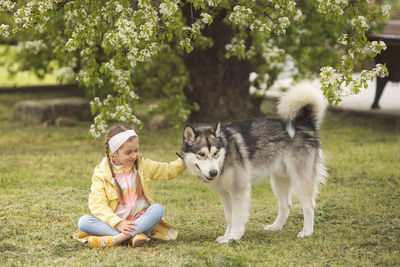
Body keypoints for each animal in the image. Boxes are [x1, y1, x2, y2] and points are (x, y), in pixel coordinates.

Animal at [181, 87, 328, 244]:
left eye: (215, 153)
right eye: (201, 154)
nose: (214, 172)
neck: (226, 154)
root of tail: (305, 124)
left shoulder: (239, 191)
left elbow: (237, 218)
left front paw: (234, 236)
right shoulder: (225, 194)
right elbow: (229, 218)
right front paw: (226, 237)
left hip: (301, 180)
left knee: (309, 205)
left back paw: (306, 231)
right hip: (278, 181)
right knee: (285, 206)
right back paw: (276, 226)